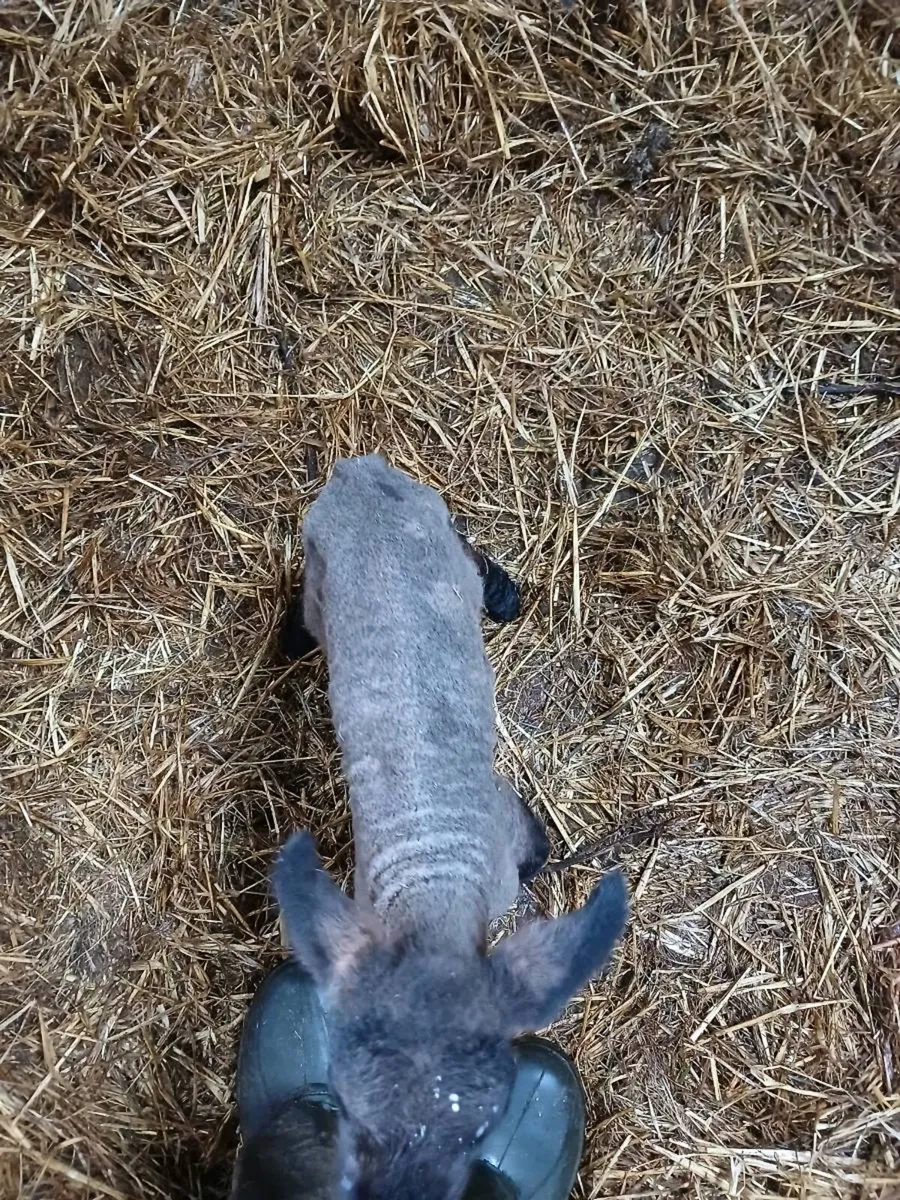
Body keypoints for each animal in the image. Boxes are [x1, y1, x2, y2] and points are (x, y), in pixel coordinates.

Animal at [273, 454, 627, 1200]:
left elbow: (534, 852)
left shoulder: (503, 827)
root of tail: (360, 472)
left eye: (485, 1127)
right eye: (342, 1106)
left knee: (464, 552)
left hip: (422, 524)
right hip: (325, 563)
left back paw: (503, 596)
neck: (434, 896)